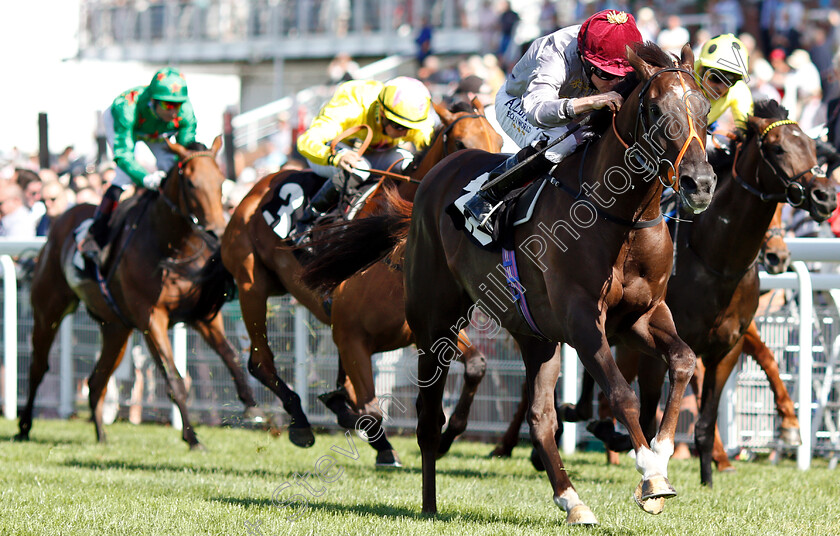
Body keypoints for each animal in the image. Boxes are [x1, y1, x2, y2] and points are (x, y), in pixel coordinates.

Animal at [15, 137, 256, 448]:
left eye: (221, 181)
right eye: (191, 184)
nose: (216, 231)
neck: (173, 248)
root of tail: (63, 218)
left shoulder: (203, 316)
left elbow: (231, 356)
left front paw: (250, 402)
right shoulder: (151, 318)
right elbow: (175, 379)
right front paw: (192, 438)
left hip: (116, 327)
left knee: (96, 380)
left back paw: (101, 435)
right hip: (49, 311)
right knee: (38, 366)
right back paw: (24, 426)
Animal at [220, 98, 502, 458]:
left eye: (499, 141)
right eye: (462, 143)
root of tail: (254, 189)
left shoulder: (431, 332)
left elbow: (477, 365)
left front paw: (448, 436)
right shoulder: (352, 337)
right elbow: (370, 407)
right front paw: (384, 448)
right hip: (251, 285)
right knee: (261, 362)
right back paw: (300, 421)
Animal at [300, 45, 716, 524]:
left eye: (705, 109)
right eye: (654, 110)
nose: (700, 183)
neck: (621, 219)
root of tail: (431, 178)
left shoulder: (641, 317)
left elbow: (683, 360)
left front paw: (662, 454)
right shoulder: (582, 321)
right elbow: (620, 393)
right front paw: (650, 475)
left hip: (537, 336)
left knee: (539, 417)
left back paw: (572, 500)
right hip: (433, 323)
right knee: (428, 416)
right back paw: (429, 503)